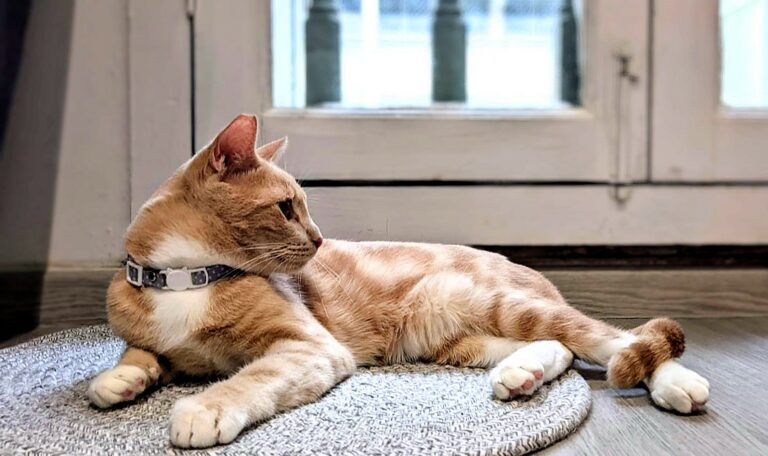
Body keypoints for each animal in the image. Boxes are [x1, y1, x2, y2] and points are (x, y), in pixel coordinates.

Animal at [88, 114, 708, 448]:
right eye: (287, 208)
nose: (319, 240)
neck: (185, 279)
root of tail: (527, 270)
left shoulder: (307, 347)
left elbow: (248, 378)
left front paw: (206, 409)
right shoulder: (154, 338)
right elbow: (139, 353)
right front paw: (119, 380)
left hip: (499, 303)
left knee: (616, 340)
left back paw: (677, 383)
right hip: (456, 338)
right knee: (560, 347)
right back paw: (522, 375)